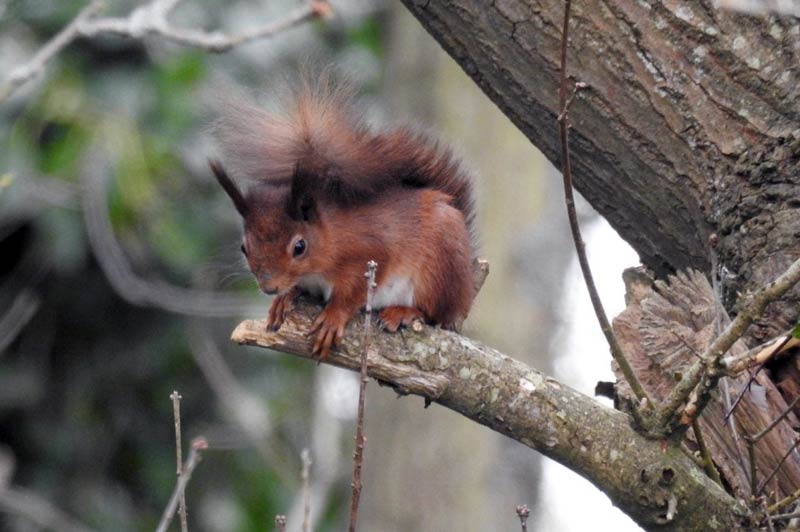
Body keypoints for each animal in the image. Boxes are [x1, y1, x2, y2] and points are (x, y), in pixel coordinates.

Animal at [209, 81, 478, 360]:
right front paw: (283, 299)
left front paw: (333, 317)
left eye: (299, 247)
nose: (268, 287)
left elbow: (353, 293)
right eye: (244, 247)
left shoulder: (370, 251)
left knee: (435, 315)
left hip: (440, 267)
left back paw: (404, 312)